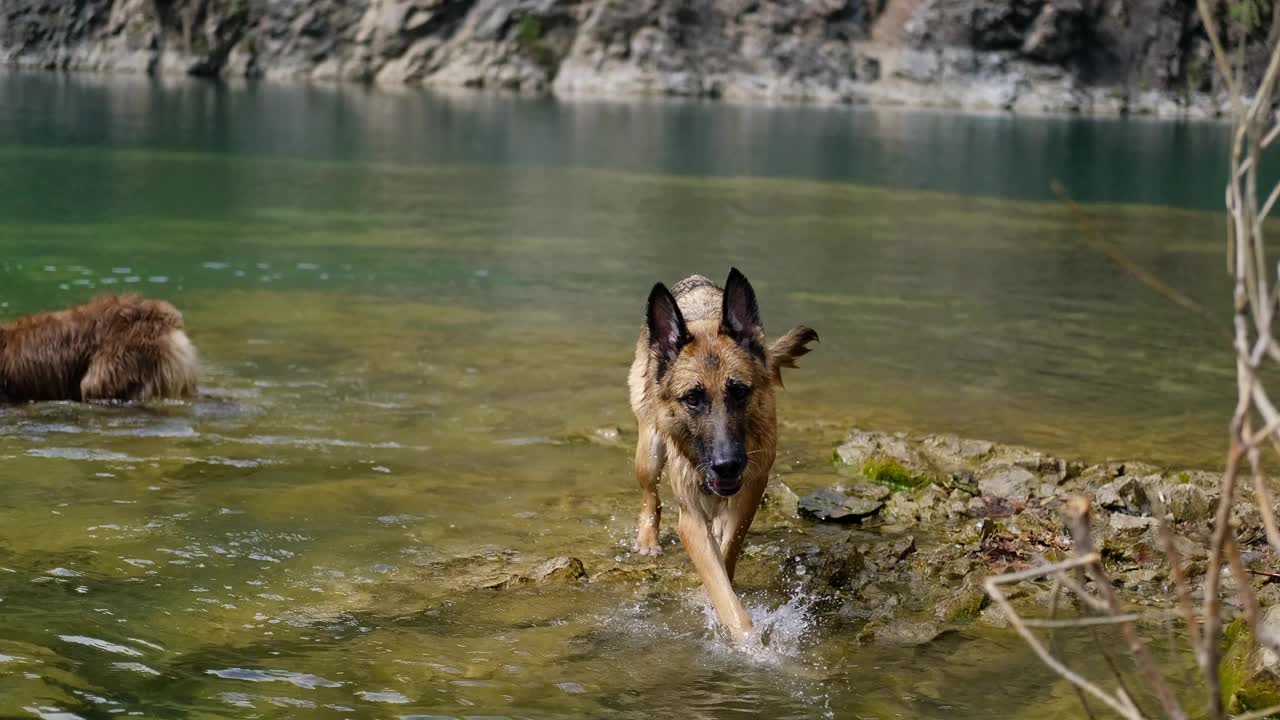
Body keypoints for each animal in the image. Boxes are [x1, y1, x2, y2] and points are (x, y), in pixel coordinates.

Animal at [629, 266, 819, 635]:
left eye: (739, 392)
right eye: (692, 398)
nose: (726, 465)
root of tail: (695, 279)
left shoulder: (753, 487)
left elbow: (730, 549)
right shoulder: (690, 518)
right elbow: (722, 591)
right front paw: (746, 638)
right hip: (650, 451)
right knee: (650, 497)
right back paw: (647, 541)